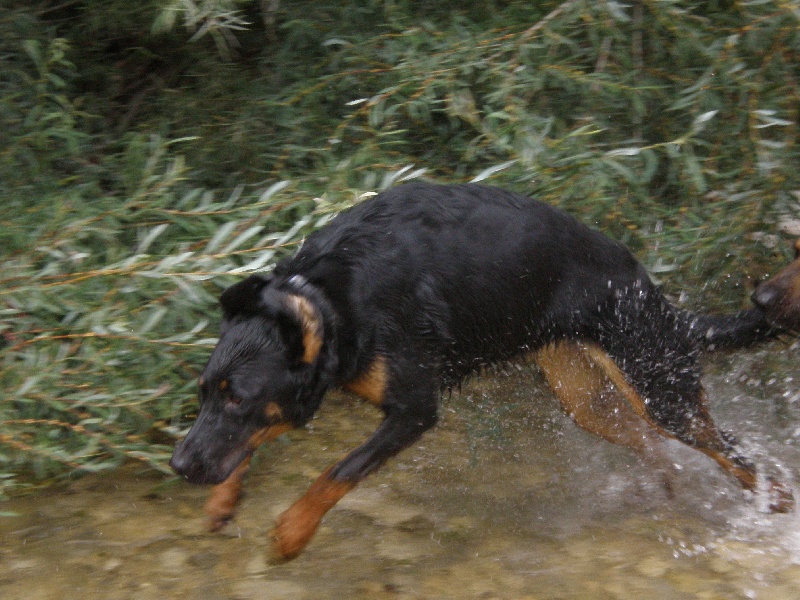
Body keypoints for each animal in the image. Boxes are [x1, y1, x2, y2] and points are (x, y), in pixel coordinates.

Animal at [170, 182, 792, 556]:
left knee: (733, 453)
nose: (176, 465)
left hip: (660, 389)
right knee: (650, 443)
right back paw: (662, 494)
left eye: (237, 397)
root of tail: (650, 292)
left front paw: (293, 532)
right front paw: (222, 499)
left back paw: (776, 504)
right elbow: (247, 447)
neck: (332, 297)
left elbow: (337, 472)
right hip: (585, 400)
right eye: (204, 393)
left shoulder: (414, 411)